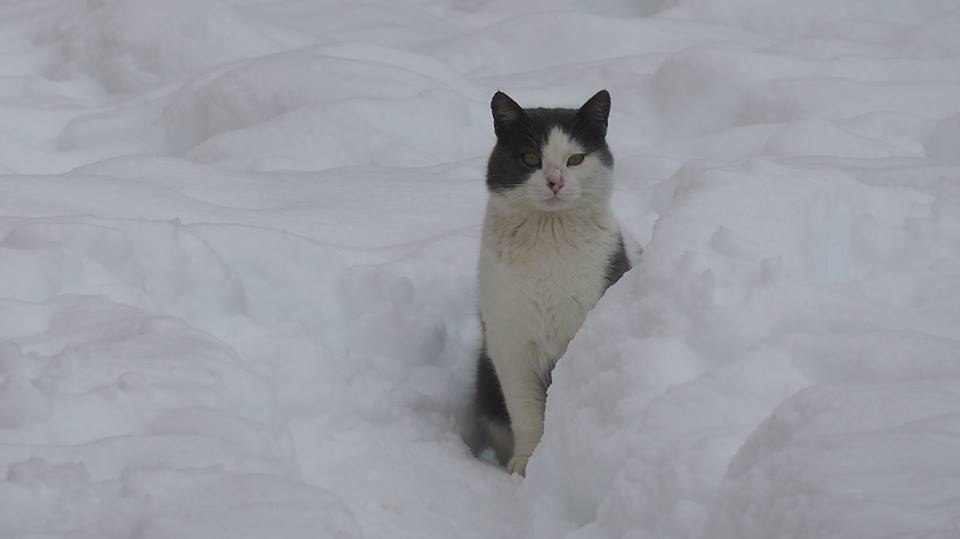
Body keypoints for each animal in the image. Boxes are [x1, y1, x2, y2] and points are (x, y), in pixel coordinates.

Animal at [474, 90, 632, 476]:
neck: (549, 237)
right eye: (530, 158)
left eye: (576, 159)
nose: (555, 182)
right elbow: (526, 412)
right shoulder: (509, 344)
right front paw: (525, 464)